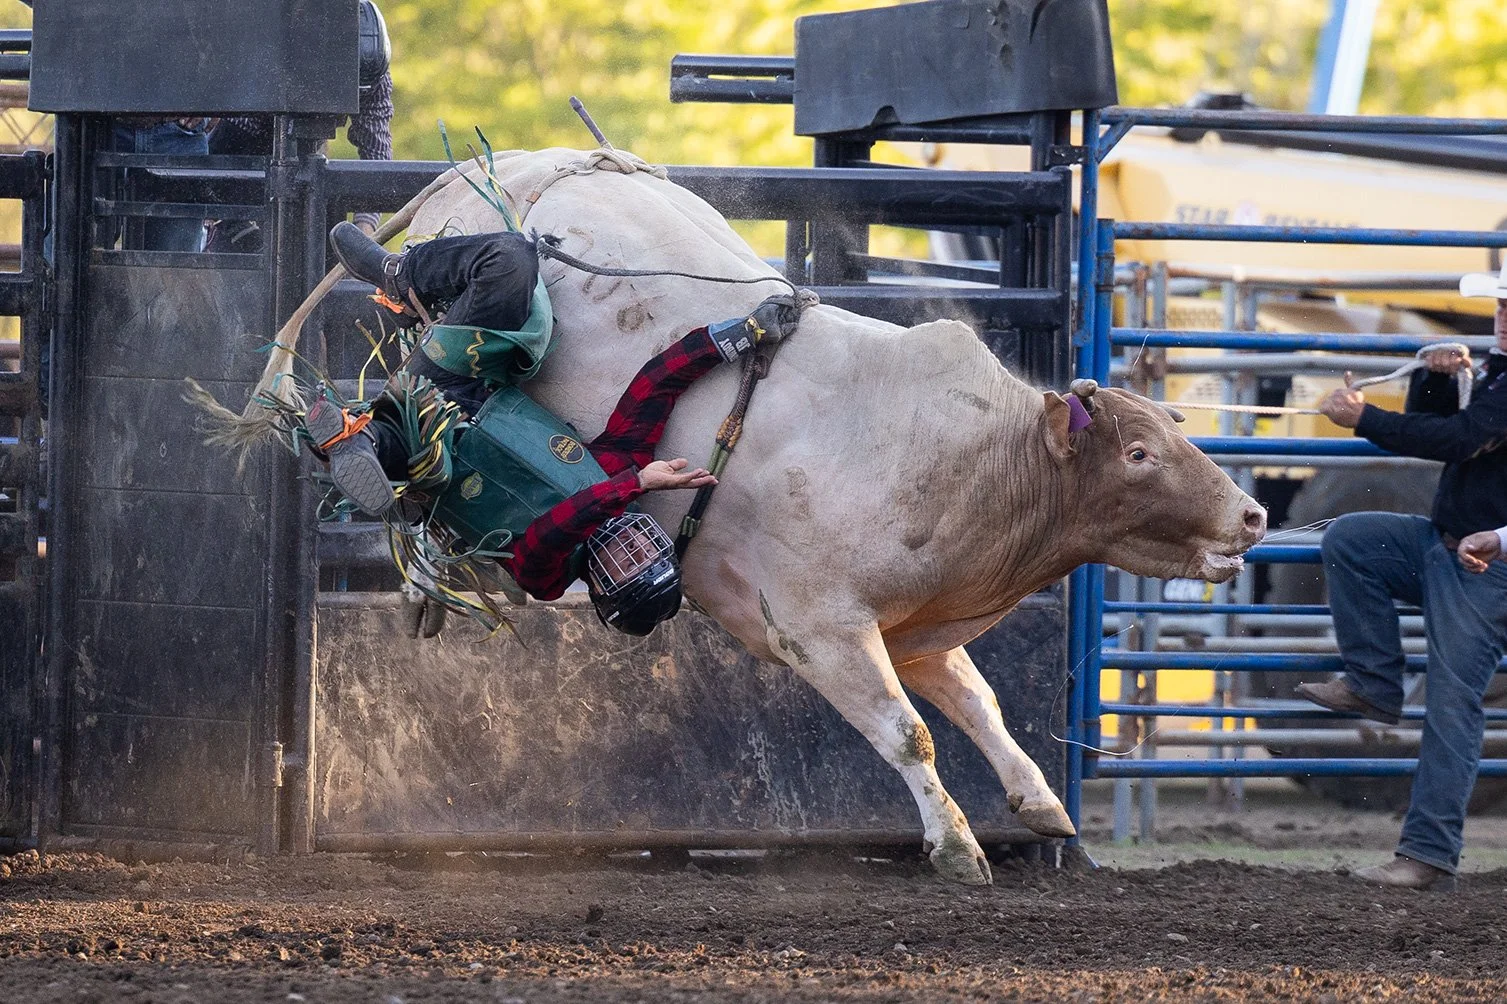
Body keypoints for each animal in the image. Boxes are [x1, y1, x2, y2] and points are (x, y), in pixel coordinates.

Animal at [245, 147, 1266, 884]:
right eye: (1137, 454)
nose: (1253, 515)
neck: (969, 461)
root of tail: (486, 169)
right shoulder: (821, 630)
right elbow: (908, 732)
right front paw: (955, 848)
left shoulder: (916, 632)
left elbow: (977, 702)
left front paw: (1041, 806)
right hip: (451, 302)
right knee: (424, 363)